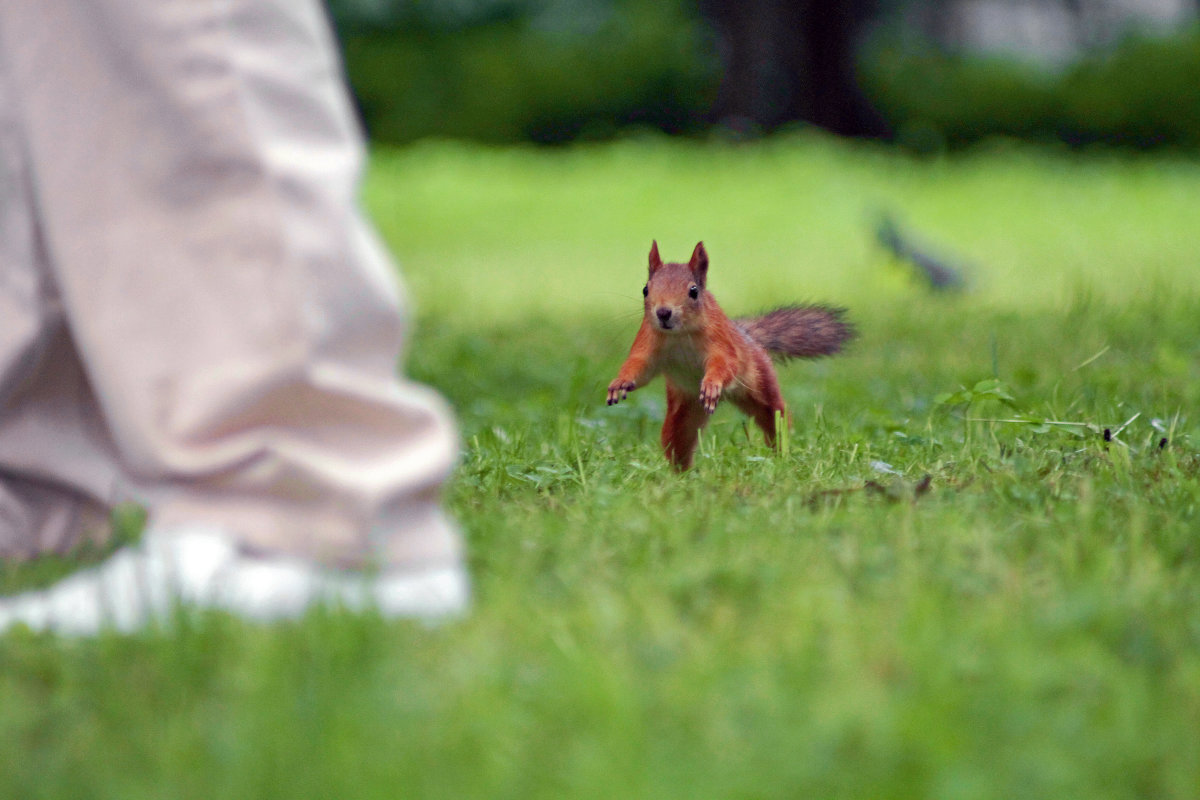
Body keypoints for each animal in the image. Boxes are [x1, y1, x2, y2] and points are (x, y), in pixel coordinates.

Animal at [609, 241, 854, 472]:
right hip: (685, 411)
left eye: (694, 291)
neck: (679, 334)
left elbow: (724, 363)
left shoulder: (720, 340)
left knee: (775, 417)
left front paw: (711, 383)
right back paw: (681, 476)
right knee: (678, 441)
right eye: (645, 290)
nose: (663, 313)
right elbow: (639, 367)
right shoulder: (648, 340)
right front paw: (620, 382)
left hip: (760, 382)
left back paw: (782, 455)